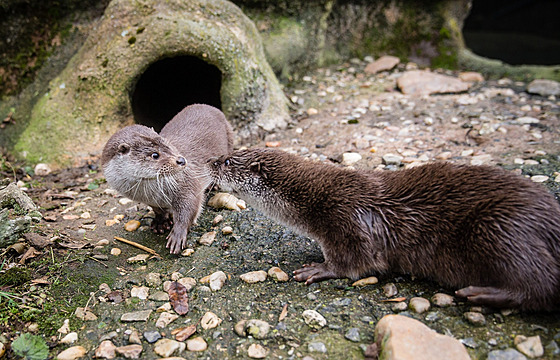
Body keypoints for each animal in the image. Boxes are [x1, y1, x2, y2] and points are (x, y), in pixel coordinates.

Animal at [101, 104, 233, 255]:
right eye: (155, 155)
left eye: (169, 146)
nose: (181, 160)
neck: (152, 194)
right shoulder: (150, 201)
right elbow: (158, 210)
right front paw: (160, 223)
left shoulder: (187, 183)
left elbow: (189, 208)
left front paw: (178, 234)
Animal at [210, 148, 560, 310]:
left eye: (227, 162)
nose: (211, 161)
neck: (314, 198)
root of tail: (551, 219)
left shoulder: (348, 220)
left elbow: (358, 262)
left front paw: (318, 269)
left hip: (500, 227)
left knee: (541, 284)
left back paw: (478, 292)